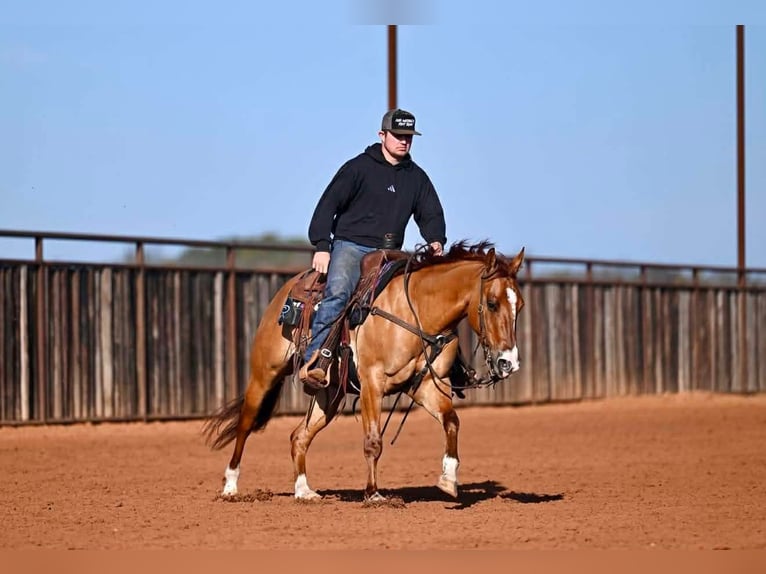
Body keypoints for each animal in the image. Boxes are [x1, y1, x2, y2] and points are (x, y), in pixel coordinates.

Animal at [203, 240, 525, 501]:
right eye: (492, 303)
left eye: (519, 306)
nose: (508, 362)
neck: (416, 311)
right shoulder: (373, 382)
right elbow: (373, 441)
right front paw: (373, 493)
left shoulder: (424, 386)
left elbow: (451, 422)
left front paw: (448, 479)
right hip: (264, 374)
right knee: (245, 424)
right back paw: (230, 486)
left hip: (330, 395)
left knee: (299, 436)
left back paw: (303, 491)